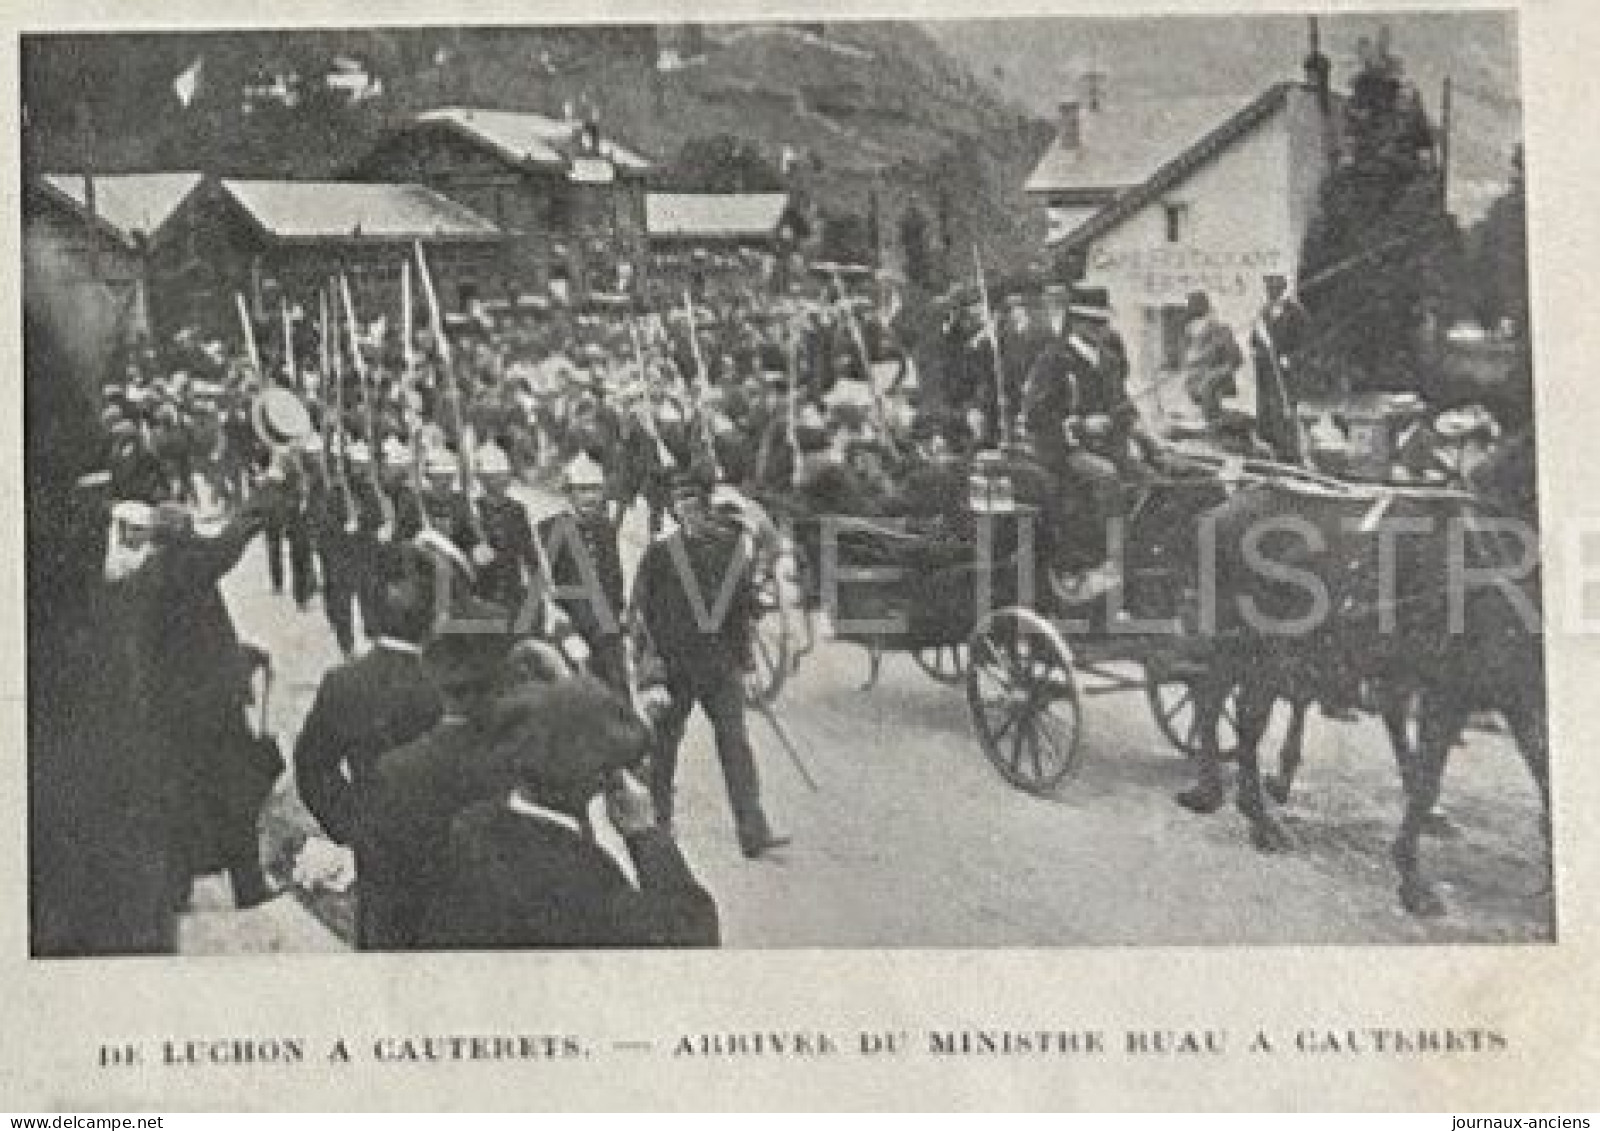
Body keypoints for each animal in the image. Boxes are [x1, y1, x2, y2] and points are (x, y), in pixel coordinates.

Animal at [1177, 476, 1548, 921]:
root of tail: (1222, 508)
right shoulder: (1446, 692)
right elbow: (1425, 781)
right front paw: (1412, 881)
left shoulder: (1519, 698)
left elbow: (1542, 775)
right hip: (1241, 640)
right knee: (1224, 706)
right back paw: (1245, 810)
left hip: (1268, 652)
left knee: (1231, 708)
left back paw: (1233, 802)